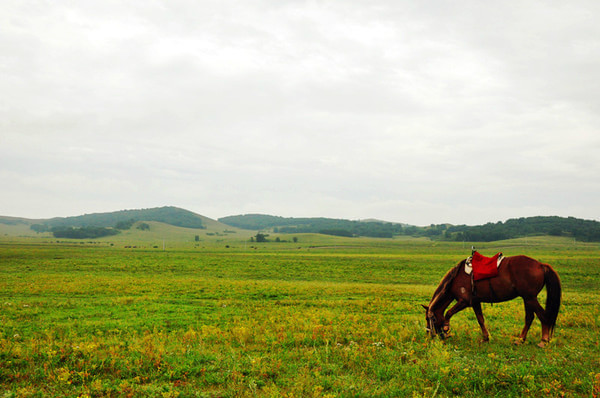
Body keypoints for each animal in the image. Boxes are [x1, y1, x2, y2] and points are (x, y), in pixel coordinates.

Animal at [424, 253, 560, 346]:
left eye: (430, 319)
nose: (429, 335)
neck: (456, 278)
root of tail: (540, 265)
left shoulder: (464, 301)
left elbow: (448, 313)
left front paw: (446, 330)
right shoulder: (475, 302)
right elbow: (480, 320)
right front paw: (485, 338)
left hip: (530, 298)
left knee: (543, 315)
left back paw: (543, 340)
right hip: (527, 299)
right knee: (529, 318)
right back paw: (520, 339)